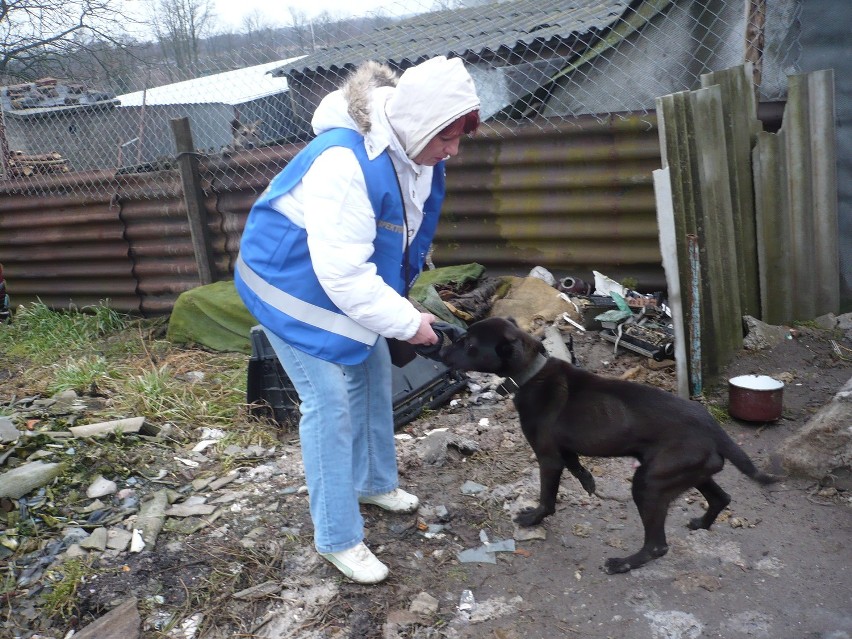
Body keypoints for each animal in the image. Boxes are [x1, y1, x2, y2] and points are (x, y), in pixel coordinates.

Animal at [442, 318, 776, 576]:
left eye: (468, 342)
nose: (442, 350)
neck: (532, 372)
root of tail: (712, 426)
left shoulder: (547, 458)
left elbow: (547, 498)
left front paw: (534, 518)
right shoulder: (563, 449)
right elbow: (575, 464)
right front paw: (588, 481)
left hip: (650, 483)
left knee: (658, 545)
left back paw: (624, 563)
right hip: (690, 472)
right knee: (721, 498)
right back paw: (701, 523)